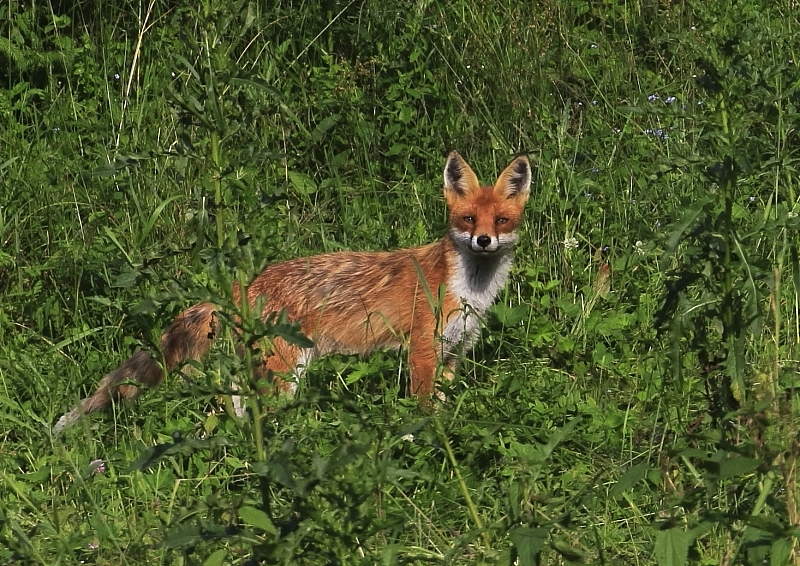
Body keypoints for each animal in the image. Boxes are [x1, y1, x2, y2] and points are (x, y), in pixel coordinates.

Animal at [56, 153, 532, 432]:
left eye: (501, 221)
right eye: (468, 219)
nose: (483, 241)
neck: (468, 290)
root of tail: (243, 284)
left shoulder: (453, 353)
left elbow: (444, 401)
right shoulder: (420, 351)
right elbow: (423, 409)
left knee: (230, 409)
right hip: (287, 370)